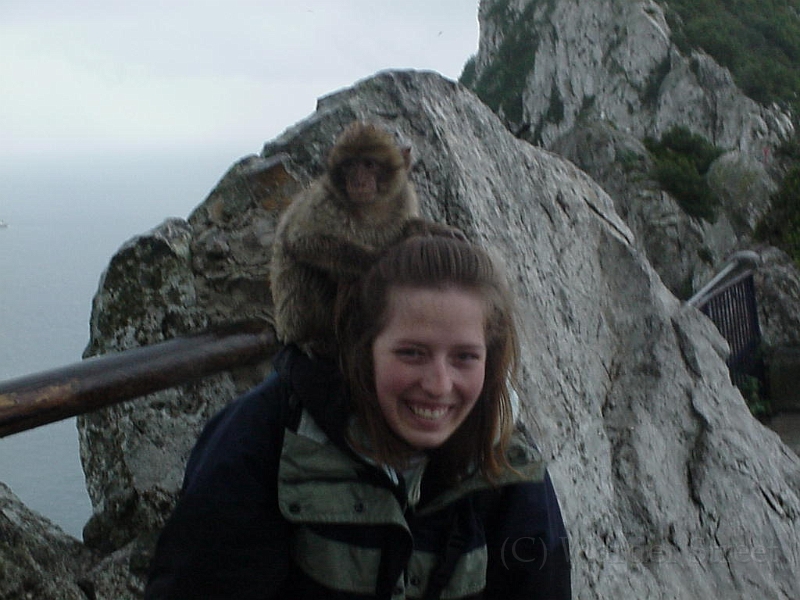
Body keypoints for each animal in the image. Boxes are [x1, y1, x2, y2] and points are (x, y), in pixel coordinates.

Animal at [270, 122, 462, 356]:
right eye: (350, 165)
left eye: (369, 164)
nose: (358, 180)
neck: (371, 208)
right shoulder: (324, 200)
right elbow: (302, 241)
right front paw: (381, 257)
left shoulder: (404, 197)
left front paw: (430, 228)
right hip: (291, 324)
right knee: (309, 271)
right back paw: (309, 338)